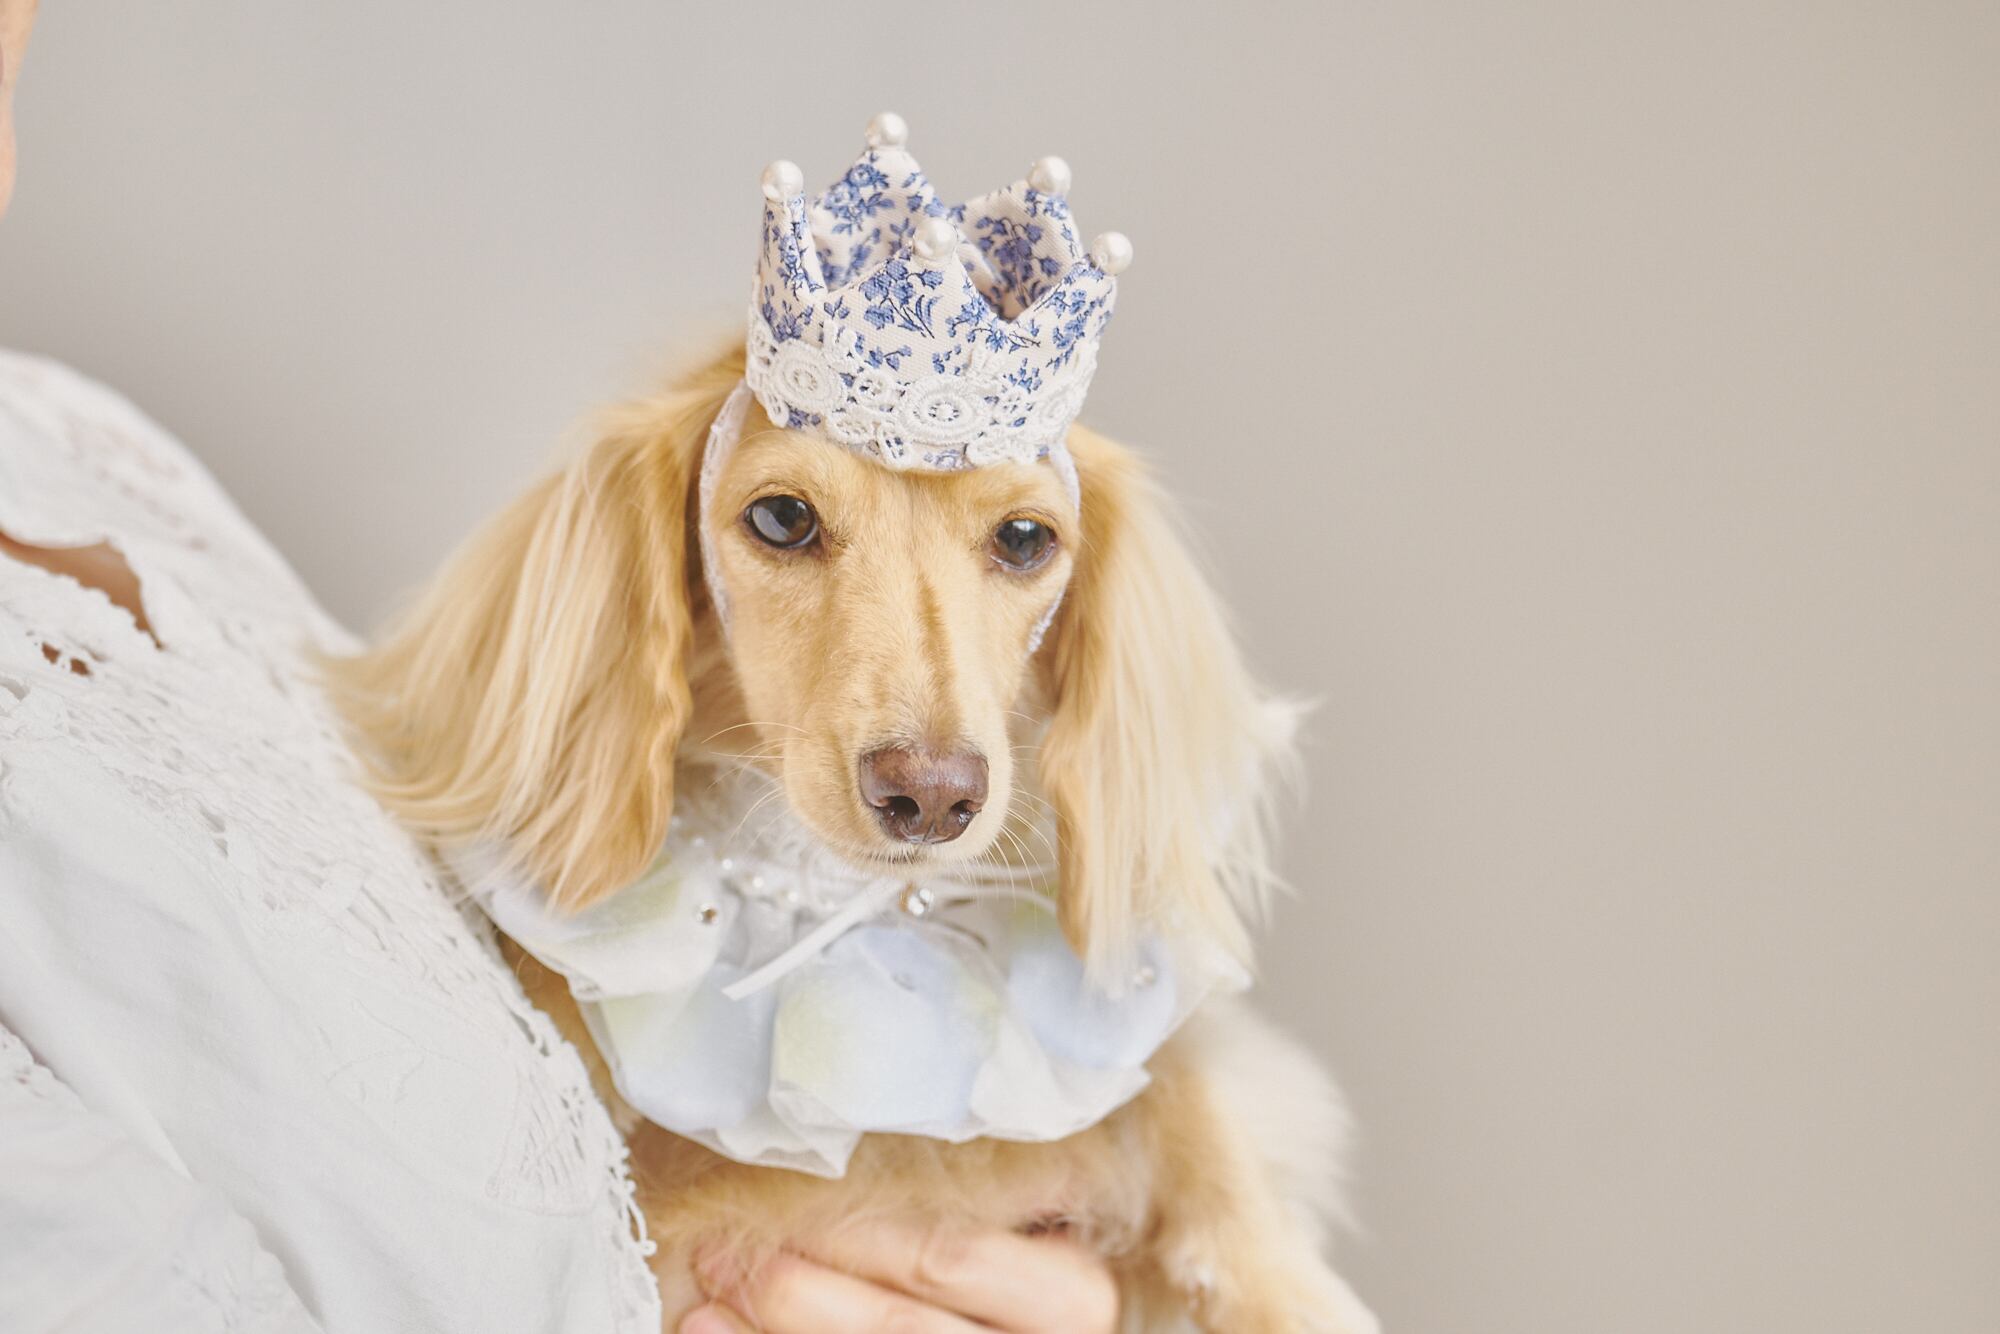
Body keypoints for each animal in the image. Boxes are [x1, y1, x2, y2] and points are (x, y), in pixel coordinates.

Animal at [333, 342, 1377, 1332]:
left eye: (1026, 537)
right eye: (782, 518)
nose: (933, 796)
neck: (820, 903)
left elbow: (1176, 1089)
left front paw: (1284, 1287)